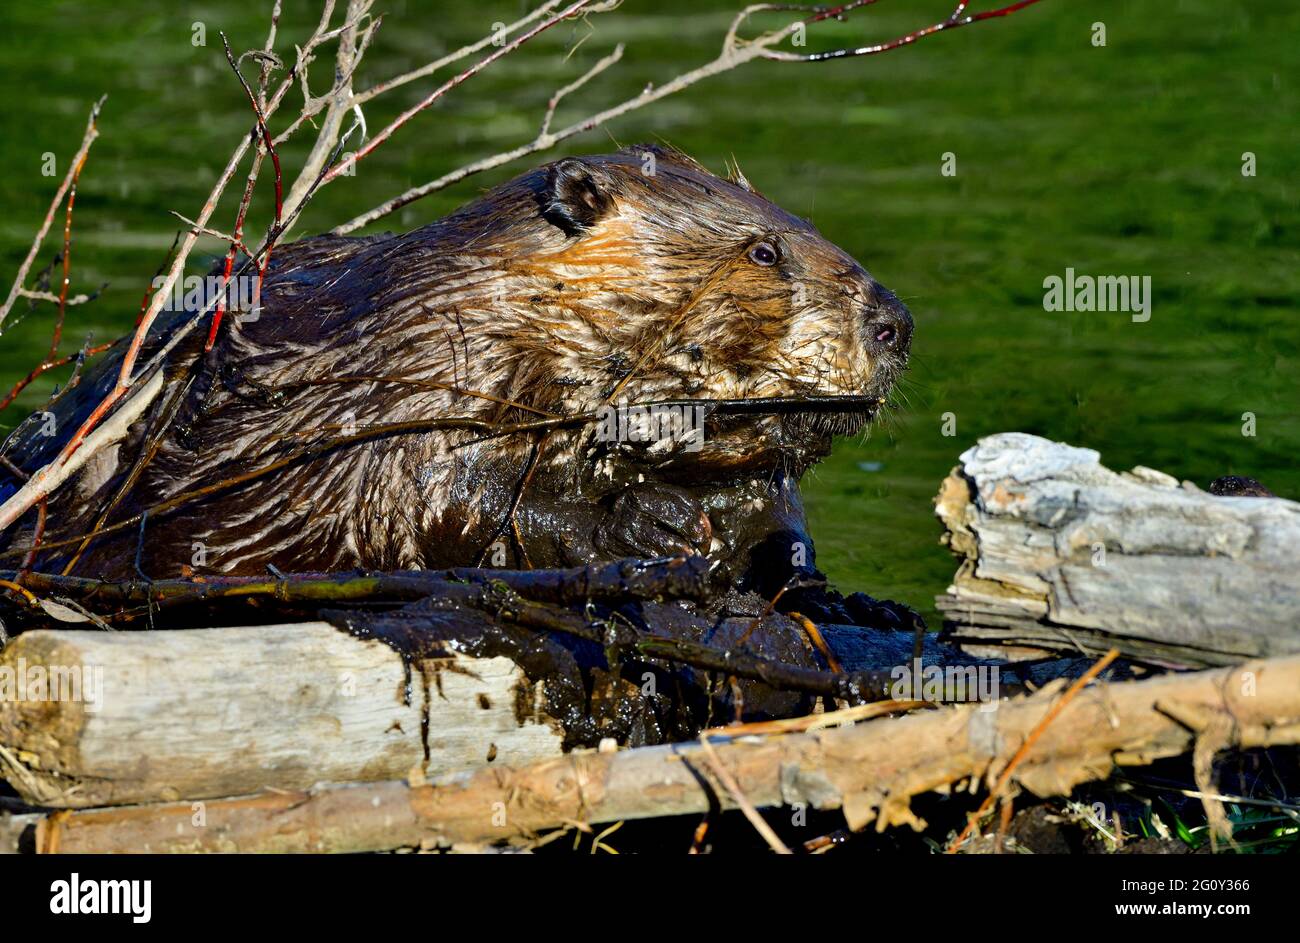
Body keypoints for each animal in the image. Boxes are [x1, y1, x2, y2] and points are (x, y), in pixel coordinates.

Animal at [2, 143, 915, 595]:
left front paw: (778, 547)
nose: (896, 323)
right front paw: (654, 524)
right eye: (764, 251)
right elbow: (432, 500)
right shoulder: (408, 377)